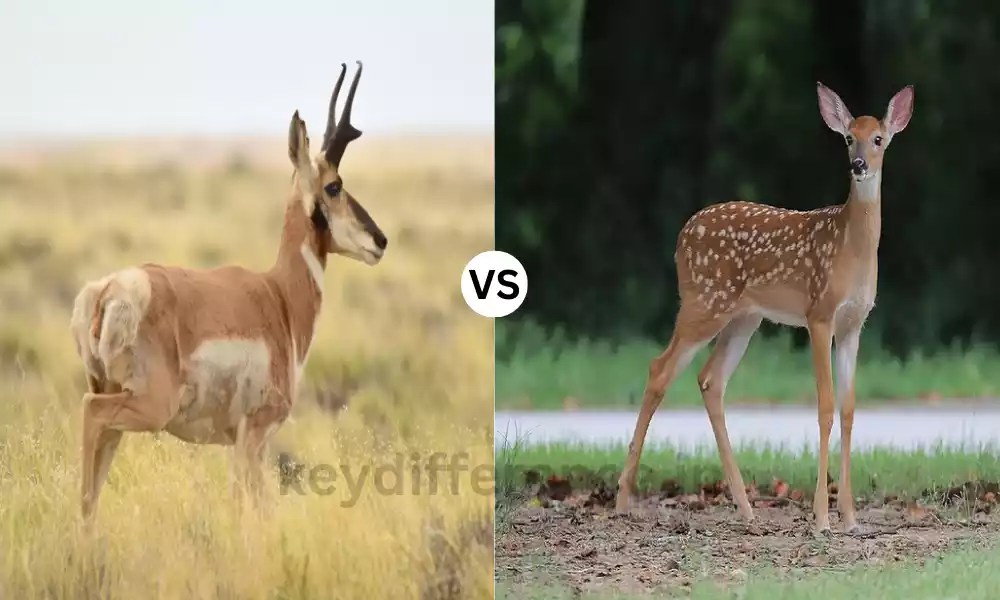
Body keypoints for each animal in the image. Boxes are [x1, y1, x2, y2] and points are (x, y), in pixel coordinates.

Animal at [69, 61, 388, 522]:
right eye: (334, 185)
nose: (380, 240)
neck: (278, 296)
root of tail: (106, 291)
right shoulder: (252, 437)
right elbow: (250, 507)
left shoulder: (246, 443)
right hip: (145, 407)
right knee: (90, 416)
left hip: (114, 397)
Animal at [614, 82, 914, 534]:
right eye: (848, 138)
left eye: (878, 138)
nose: (859, 164)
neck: (852, 247)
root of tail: (682, 237)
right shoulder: (819, 313)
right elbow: (825, 406)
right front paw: (821, 518)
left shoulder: (854, 324)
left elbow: (848, 409)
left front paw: (850, 517)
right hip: (705, 301)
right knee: (660, 369)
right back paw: (622, 499)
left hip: (744, 317)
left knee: (710, 379)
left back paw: (745, 507)